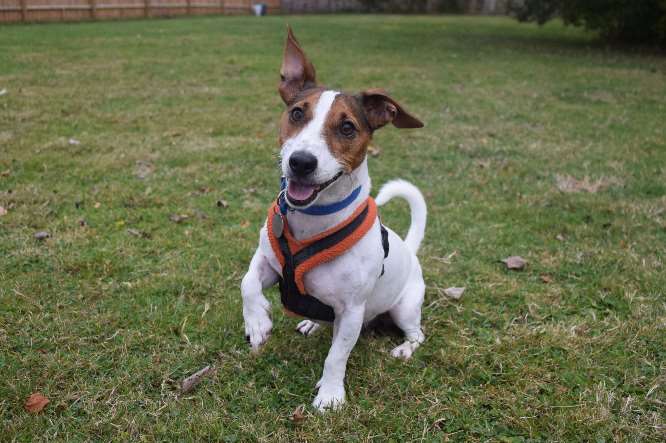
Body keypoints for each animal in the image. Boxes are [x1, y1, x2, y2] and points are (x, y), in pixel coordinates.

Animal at [239, 26, 426, 412]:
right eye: (297, 113)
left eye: (347, 128)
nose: (300, 162)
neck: (311, 221)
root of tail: (411, 252)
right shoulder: (267, 261)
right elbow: (247, 282)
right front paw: (258, 321)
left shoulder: (352, 311)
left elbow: (336, 356)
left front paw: (330, 394)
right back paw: (313, 324)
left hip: (405, 308)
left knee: (418, 333)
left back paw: (404, 348)